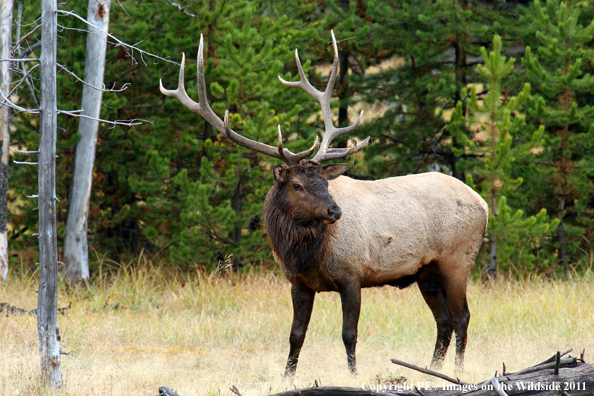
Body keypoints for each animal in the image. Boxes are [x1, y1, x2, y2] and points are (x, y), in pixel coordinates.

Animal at [158, 32, 486, 376]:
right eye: (298, 185)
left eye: (326, 183)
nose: (335, 210)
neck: (304, 254)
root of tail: (483, 203)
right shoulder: (298, 283)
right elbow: (296, 334)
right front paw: (287, 376)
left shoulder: (352, 275)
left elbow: (349, 334)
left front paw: (353, 374)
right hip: (426, 272)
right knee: (444, 321)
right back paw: (432, 369)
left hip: (457, 259)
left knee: (462, 317)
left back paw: (457, 371)